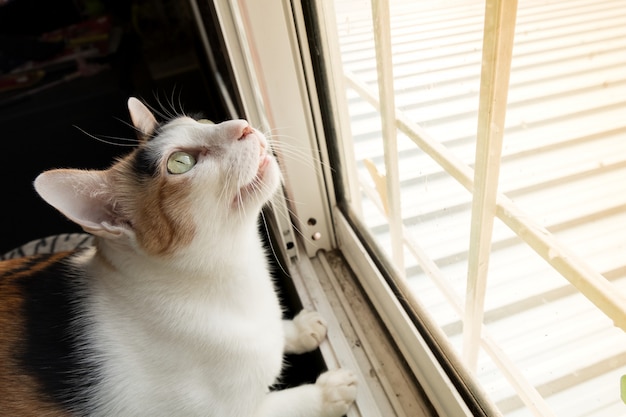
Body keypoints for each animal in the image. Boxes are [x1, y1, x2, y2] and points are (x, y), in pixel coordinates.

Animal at [0, 98, 356, 416]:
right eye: (180, 163)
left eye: (205, 122)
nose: (242, 125)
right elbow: (286, 405)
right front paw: (329, 393)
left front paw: (298, 328)